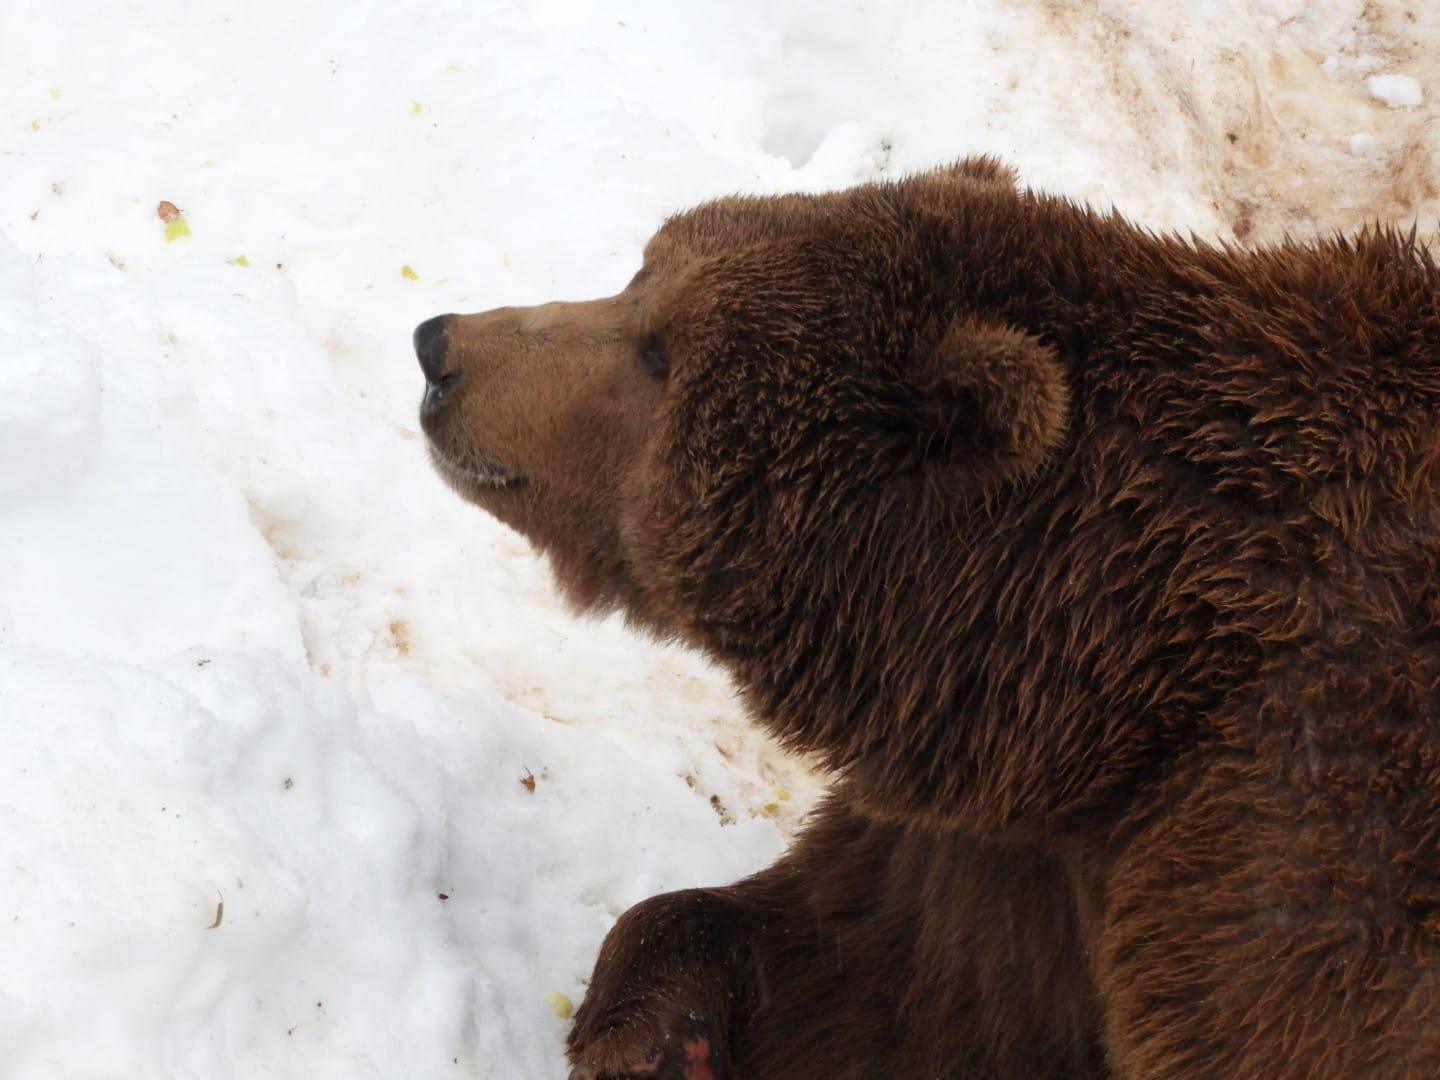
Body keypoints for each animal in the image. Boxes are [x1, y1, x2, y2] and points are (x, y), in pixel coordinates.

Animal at [414, 158, 1440, 1078]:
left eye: (661, 353)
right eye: (644, 271)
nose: (440, 346)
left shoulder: (1290, 863)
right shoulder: (1015, 856)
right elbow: (873, 977)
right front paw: (663, 1040)